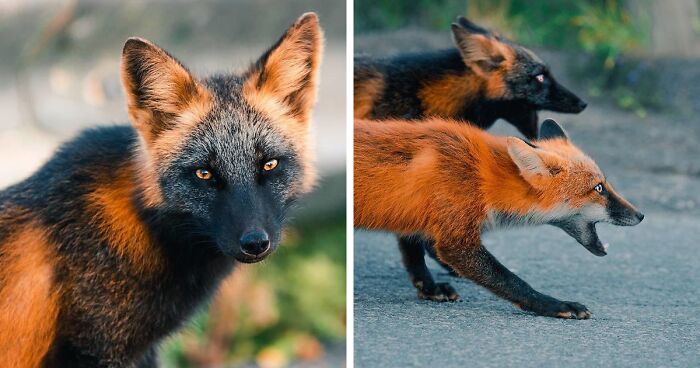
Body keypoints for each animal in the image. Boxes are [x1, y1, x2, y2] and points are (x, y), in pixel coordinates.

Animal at [356, 118, 644, 320]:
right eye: (598, 188)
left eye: (605, 184)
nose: (640, 215)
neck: (482, 180)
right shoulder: (456, 241)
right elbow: (512, 281)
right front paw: (553, 305)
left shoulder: (414, 216)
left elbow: (412, 253)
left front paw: (428, 288)